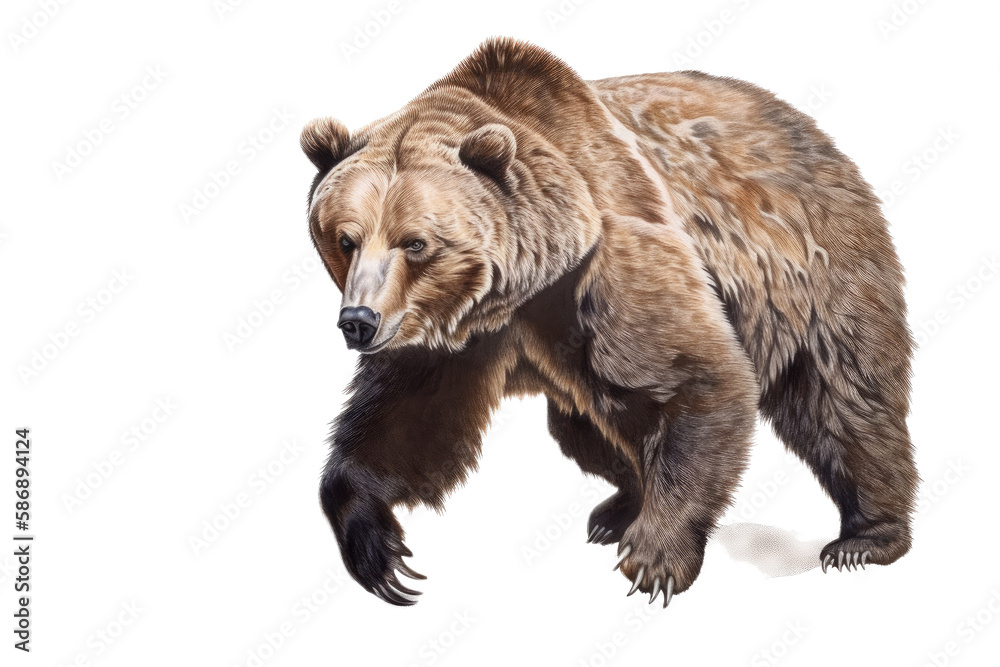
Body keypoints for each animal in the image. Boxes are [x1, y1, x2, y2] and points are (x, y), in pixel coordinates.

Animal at [300, 37, 917, 607]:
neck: (523, 284)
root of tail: (803, 126)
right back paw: (619, 507)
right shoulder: (449, 333)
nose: (358, 321)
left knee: (842, 394)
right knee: (586, 428)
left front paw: (657, 557)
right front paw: (378, 548)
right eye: (346, 238)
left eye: (416, 242)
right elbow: (406, 419)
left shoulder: (613, 250)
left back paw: (865, 538)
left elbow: (702, 375)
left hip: (810, 267)